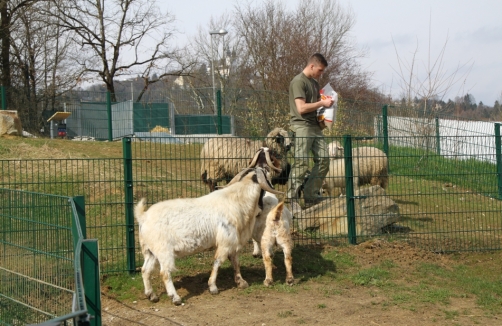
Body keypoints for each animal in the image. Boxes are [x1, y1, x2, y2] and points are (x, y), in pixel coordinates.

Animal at [133, 148, 282, 306]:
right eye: (267, 173)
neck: (237, 200)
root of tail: (143, 216)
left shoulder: (232, 242)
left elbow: (235, 261)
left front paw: (241, 282)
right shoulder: (225, 242)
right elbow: (218, 262)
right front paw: (213, 287)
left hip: (149, 251)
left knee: (145, 270)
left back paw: (152, 295)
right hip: (163, 250)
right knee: (165, 273)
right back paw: (175, 298)